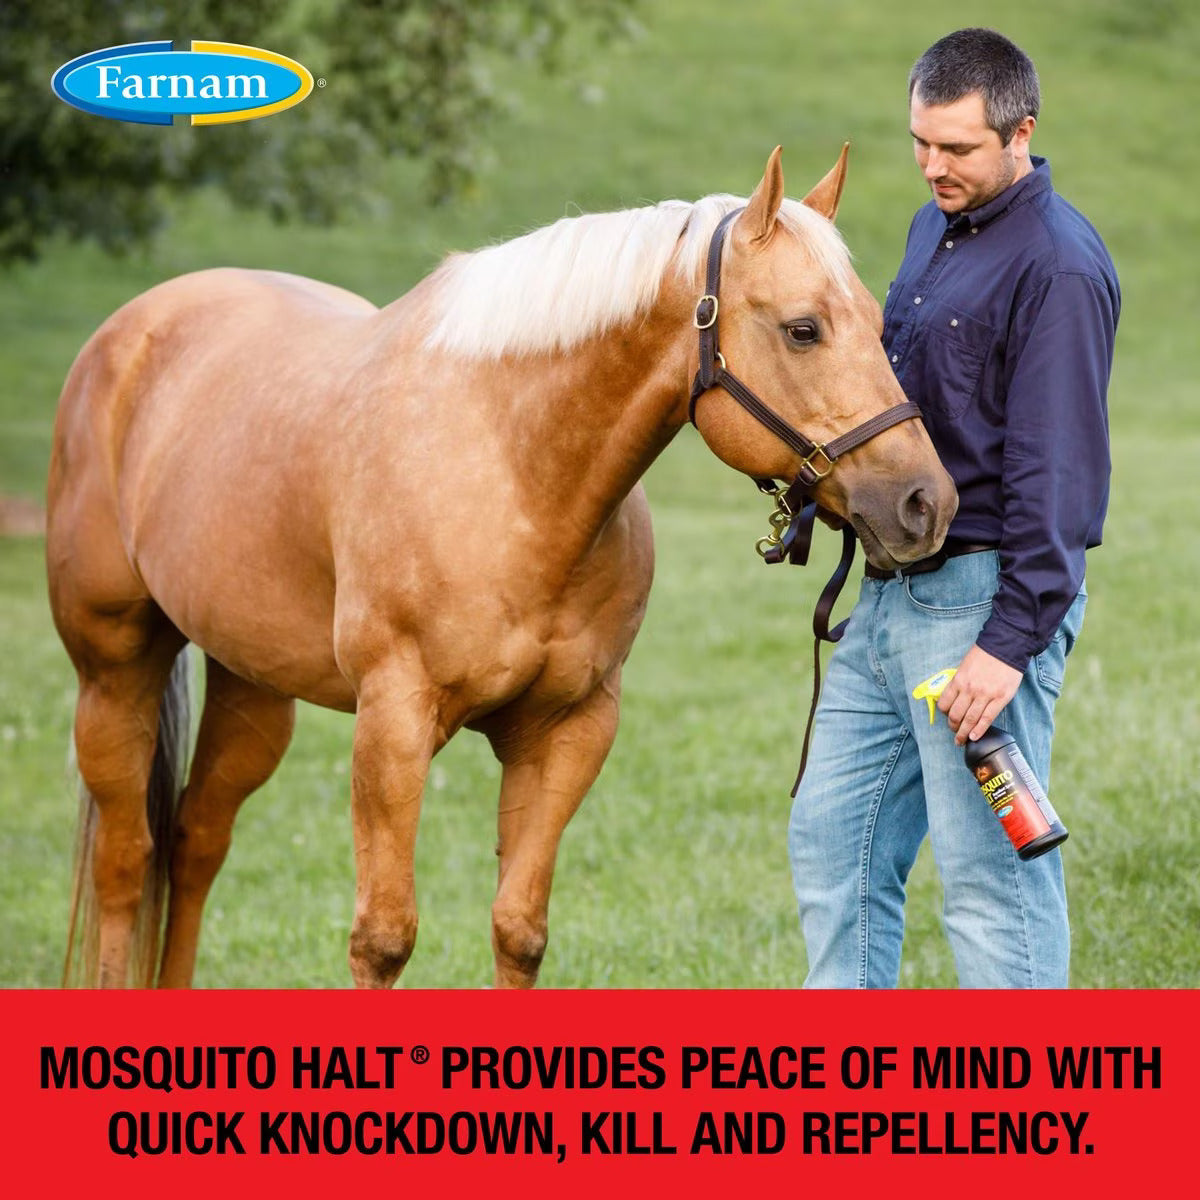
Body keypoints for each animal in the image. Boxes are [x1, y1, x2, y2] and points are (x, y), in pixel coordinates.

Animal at [47, 145, 956, 989]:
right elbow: (382, 939)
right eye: (803, 328)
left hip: (251, 683)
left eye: (875, 319)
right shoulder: (393, 725)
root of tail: (134, 329)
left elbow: (519, 931)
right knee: (127, 858)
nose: (925, 503)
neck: (511, 466)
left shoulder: (568, 730)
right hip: (115, 669)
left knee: (195, 841)